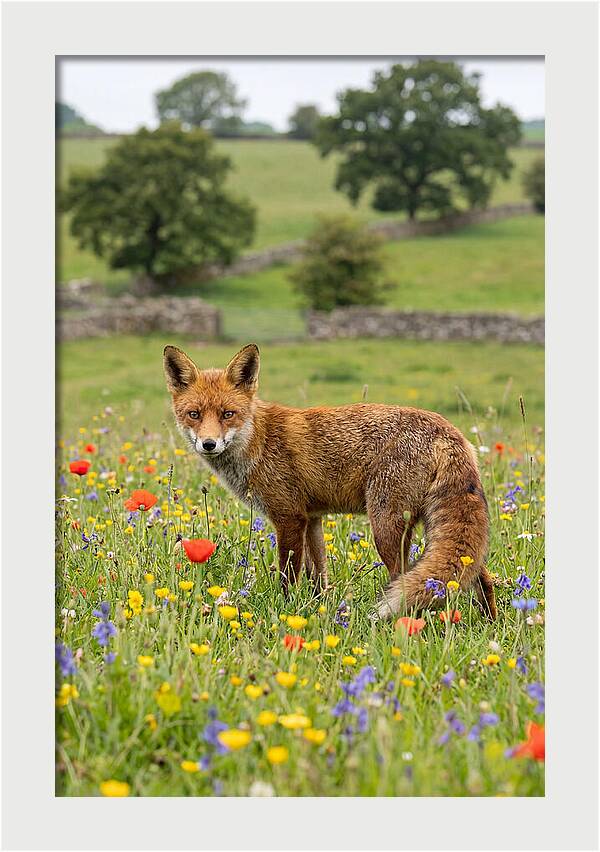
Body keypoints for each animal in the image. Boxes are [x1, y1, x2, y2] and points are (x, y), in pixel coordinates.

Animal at [163, 343, 497, 620]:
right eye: (194, 414)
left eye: (227, 414)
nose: (208, 444)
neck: (257, 440)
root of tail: (448, 431)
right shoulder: (312, 519)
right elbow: (318, 576)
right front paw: (319, 609)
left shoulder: (289, 518)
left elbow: (288, 575)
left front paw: (285, 611)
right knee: (481, 577)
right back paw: (490, 623)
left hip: (386, 527)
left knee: (402, 579)